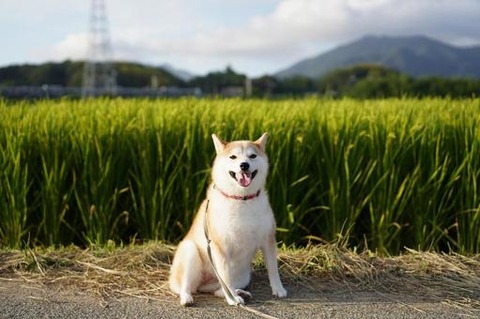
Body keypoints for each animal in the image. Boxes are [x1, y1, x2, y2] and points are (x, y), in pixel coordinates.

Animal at [169, 133, 284, 308]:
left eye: (252, 156)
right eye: (233, 157)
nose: (244, 165)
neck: (241, 199)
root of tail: (204, 285)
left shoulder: (268, 239)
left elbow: (273, 269)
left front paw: (278, 289)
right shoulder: (220, 246)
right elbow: (226, 277)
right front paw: (233, 299)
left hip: (243, 275)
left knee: (219, 290)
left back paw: (239, 293)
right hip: (191, 252)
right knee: (187, 285)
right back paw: (188, 297)